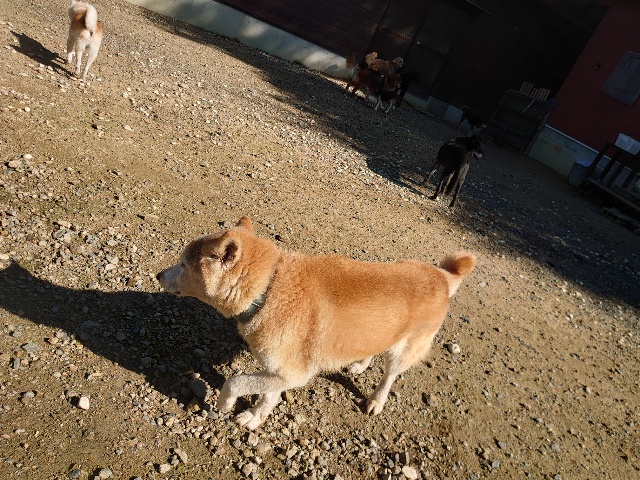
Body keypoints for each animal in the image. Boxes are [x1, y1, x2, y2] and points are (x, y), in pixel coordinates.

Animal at [157, 216, 476, 430]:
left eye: (183, 264)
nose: (158, 275)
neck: (269, 289)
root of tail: (441, 277)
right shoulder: (278, 370)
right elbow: (268, 396)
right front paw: (255, 417)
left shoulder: (295, 373)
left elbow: (236, 382)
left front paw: (225, 404)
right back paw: (359, 364)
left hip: (405, 350)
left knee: (389, 376)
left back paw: (376, 400)